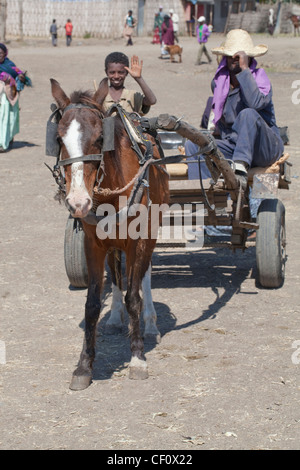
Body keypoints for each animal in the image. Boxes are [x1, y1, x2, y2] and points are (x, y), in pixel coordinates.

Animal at [50, 79, 170, 392]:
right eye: (59, 140)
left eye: (99, 139)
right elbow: (92, 303)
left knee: (144, 276)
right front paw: (84, 365)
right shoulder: (93, 244)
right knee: (116, 275)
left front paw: (138, 358)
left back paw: (150, 323)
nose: (78, 202)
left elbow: (134, 297)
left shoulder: (138, 240)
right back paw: (115, 317)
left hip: (150, 232)